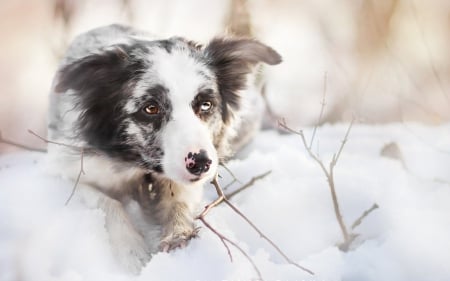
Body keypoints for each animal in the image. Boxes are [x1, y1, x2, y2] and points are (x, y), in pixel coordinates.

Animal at [46, 24, 282, 272]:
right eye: (151, 108)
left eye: (205, 105)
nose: (200, 163)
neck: (140, 167)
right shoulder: (63, 171)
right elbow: (108, 202)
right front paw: (132, 251)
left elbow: (179, 202)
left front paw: (178, 235)